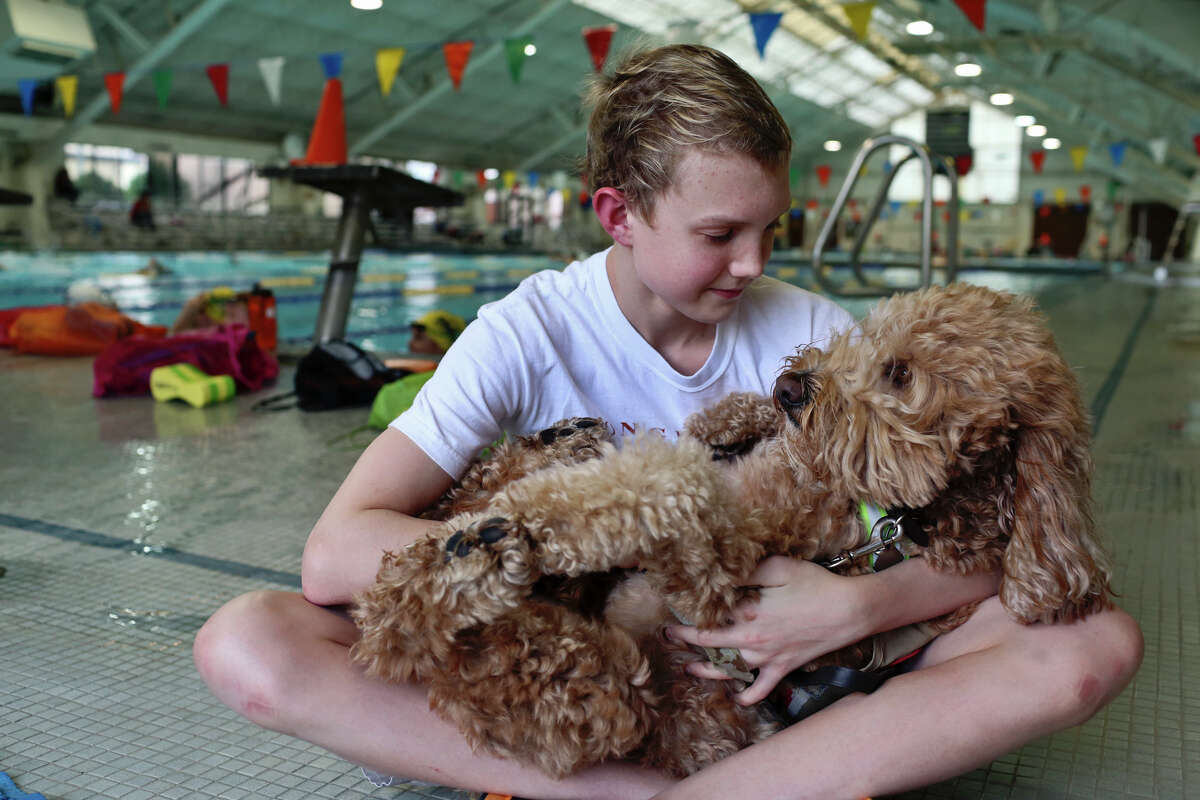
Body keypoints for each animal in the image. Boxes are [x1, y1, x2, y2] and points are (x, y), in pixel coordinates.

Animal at [350, 281, 1108, 777]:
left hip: (606, 694)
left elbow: (656, 490)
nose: (793, 386)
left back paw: (454, 564)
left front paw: (522, 528)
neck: (895, 518)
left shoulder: (712, 566)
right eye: (871, 333)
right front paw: (729, 417)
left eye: (900, 374)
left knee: (464, 645)